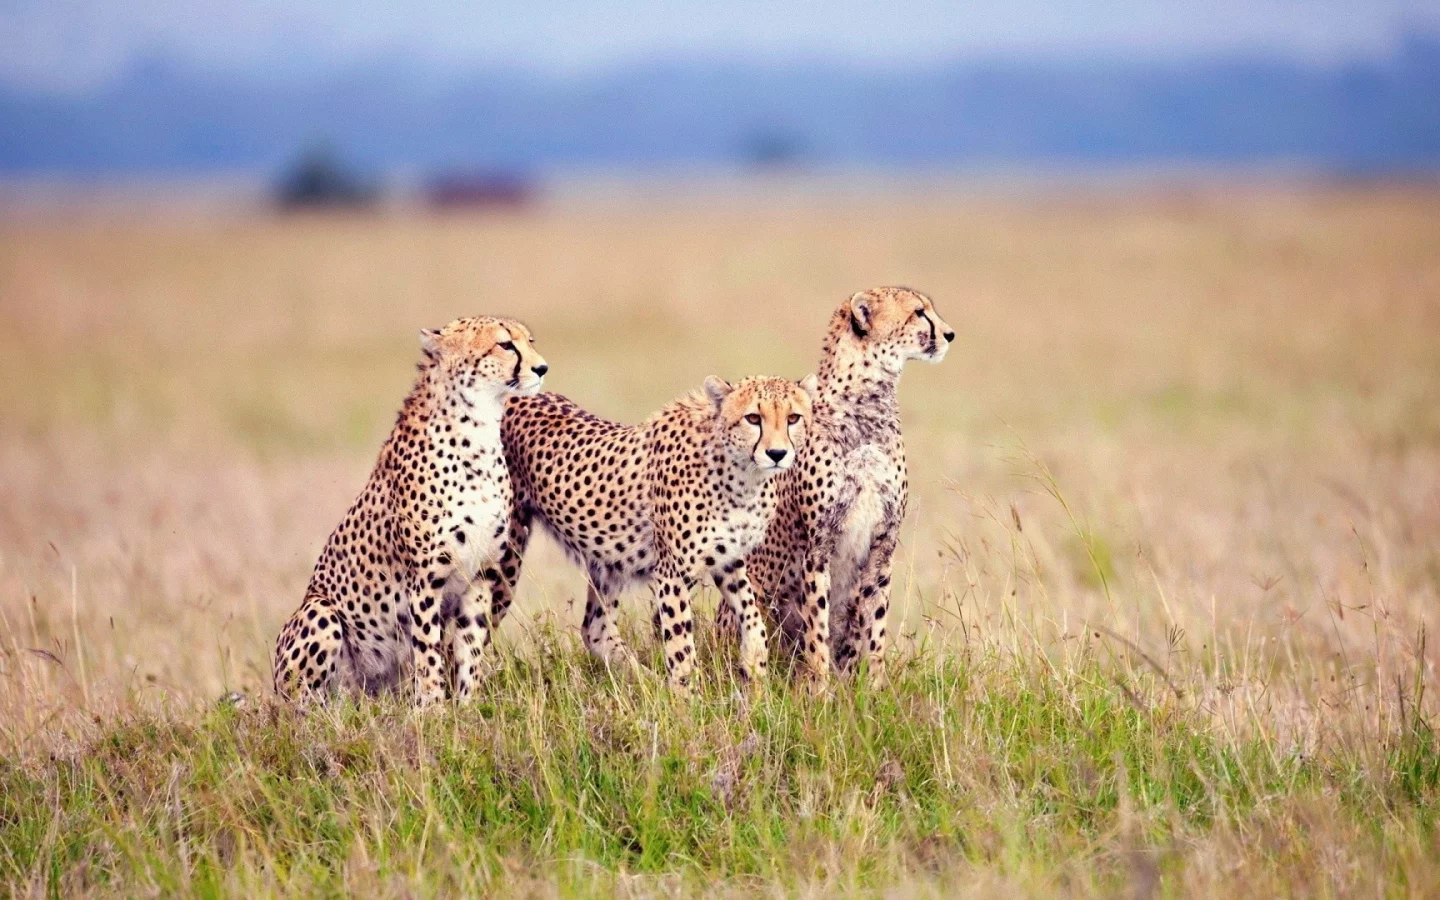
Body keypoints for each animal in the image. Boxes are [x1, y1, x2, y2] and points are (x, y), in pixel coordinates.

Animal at [272, 315, 547, 702]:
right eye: (505, 344)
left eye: (529, 341)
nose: (542, 367)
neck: (478, 434)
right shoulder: (426, 580)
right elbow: (429, 652)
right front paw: (433, 708)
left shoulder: (480, 575)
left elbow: (470, 648)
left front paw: (468, 704)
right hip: (319, 612)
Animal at [720, 283, 956, 685]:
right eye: (919, 312)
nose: (950, 334)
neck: (868, 406)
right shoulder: (818, 545)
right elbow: (817, 624)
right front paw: (819, 686)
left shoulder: (883, 543)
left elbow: (874, 623)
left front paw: (873, 686)